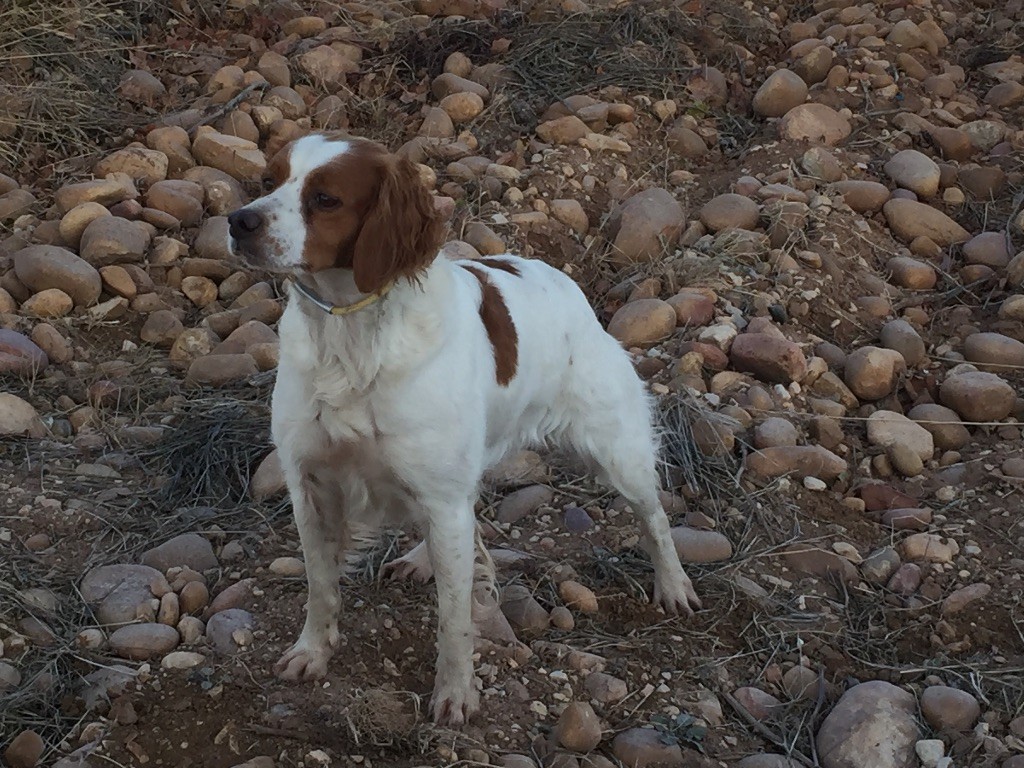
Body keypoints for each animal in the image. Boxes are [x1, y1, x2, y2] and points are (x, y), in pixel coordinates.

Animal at [226, 131, 701, 726]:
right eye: (268, 180)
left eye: (326, 199)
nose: (238, 221)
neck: (352, 337)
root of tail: (564, 283)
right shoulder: (311, 484)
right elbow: (320, 586)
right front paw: (311, 653)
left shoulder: (439, 495)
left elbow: (454, 618)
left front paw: (456, 694)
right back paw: (419, 560)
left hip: (618, 452)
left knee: (654, 517)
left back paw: (674, 585)